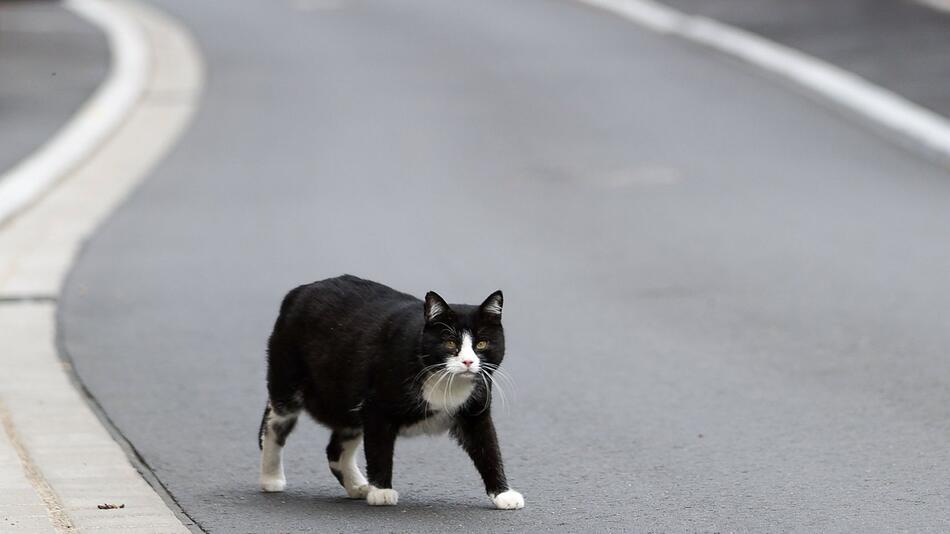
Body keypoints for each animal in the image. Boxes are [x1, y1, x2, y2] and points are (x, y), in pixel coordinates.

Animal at [260, 276, 524, 510]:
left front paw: (504, 494)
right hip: (289, 380)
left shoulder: (474, 413)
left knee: (336, 448)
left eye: (481, 344)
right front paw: (381, 492)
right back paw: (271, 479)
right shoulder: (377, 408)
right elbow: (379, 449)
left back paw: (357, 486)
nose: (468, 362)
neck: (444, 382)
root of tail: (299, 290)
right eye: (450, 343)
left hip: (348, 400)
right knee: (274, 425)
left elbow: (488, 448)